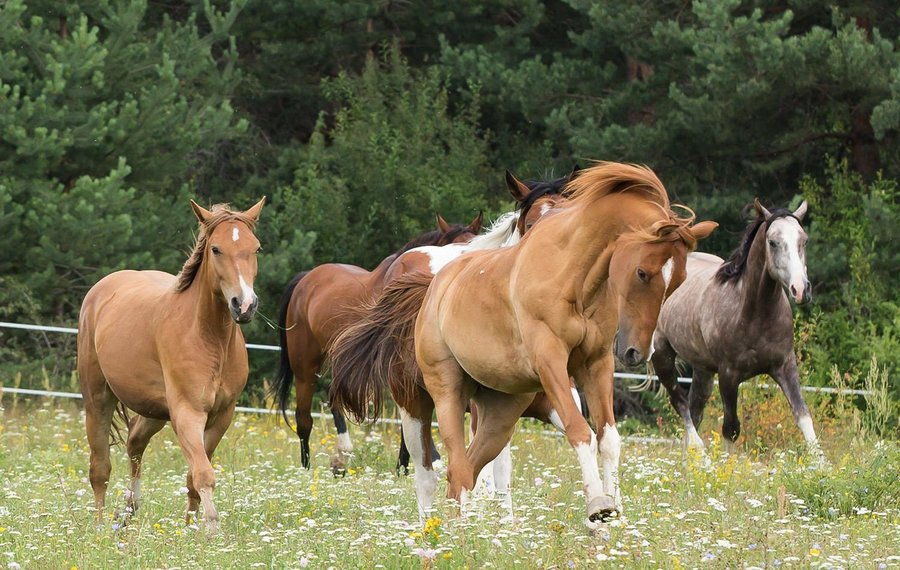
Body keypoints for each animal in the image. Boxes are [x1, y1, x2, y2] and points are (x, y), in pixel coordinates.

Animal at [77, 196, 266, 528]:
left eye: (255, 248)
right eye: (216, 249)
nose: (244, 305)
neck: (210, 340)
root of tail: (101, 289)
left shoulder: (222, 416)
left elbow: (193, 477)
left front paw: (191, 527)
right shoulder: (188, 413)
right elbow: (203, 474)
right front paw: (211, 528)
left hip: (154, 409)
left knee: (135, 442)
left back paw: (131, 508)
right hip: (98, 399)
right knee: (100, 467)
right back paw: (100, 526)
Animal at [274, 213, 486, 470]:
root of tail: (305, 279)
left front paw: (403, 466)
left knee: (333, 397)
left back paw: (342, 458)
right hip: (305, 367)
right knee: (304, 419)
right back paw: (307, 468)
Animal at [330, 161, 716, 524]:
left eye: (678, 281)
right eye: (642, 273)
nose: (637, 352)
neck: (574, 279)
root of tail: (430, 288)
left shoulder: (594, 365)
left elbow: (607, 439)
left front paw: (613, 510)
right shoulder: (549, 361)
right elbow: (580, 431)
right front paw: (597, 505)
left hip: (500, 412)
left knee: (467, 470)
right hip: (426, 403)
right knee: (435, 473)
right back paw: (440, 535)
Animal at [652, 197, 828, 460]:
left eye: (803, 240)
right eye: (773, 242)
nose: (801, 290)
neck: (755, 315)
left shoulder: (785, 366)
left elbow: (803, 416)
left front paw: (822, 466)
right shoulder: (729, 375)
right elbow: (731, 429)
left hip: (703, 370)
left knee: (694, 411)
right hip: (662, 356)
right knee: (681, 405)